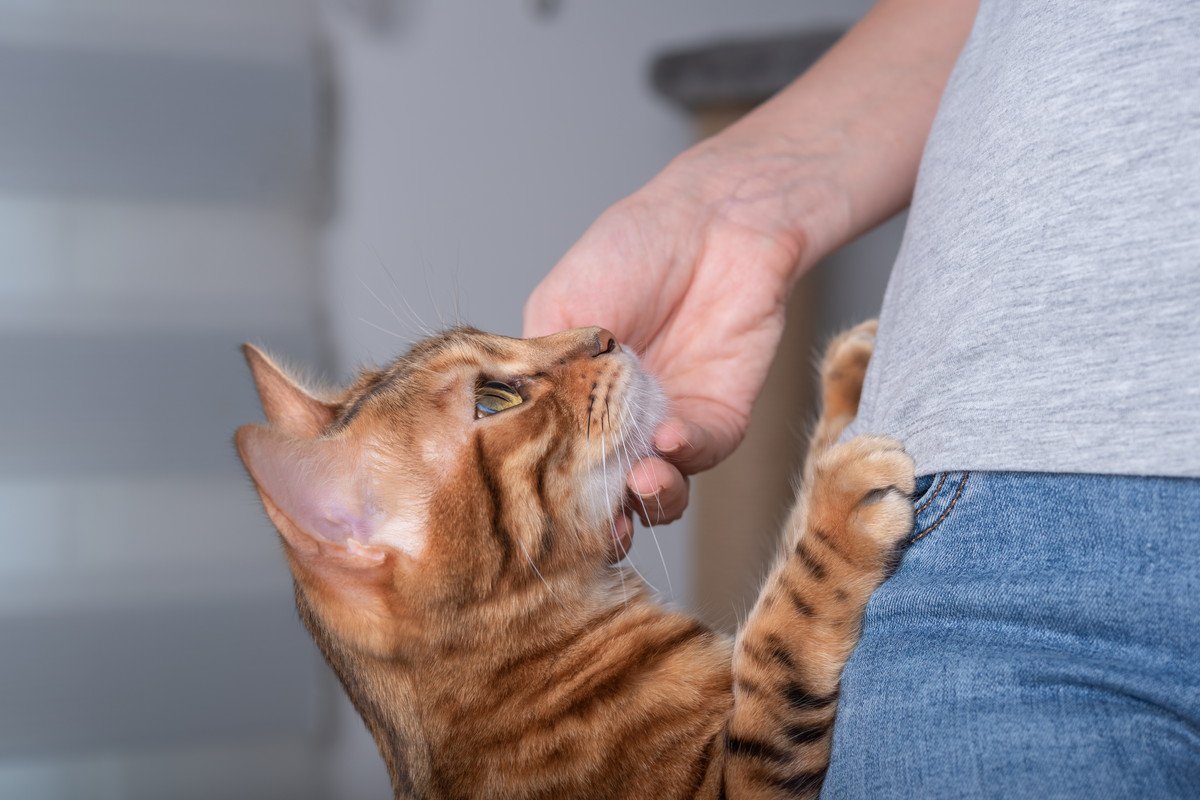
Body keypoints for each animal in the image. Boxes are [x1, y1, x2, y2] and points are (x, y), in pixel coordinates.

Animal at [231, 321, 907, 800]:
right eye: (493, 399)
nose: (603, 331)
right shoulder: (728, 785)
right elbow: (777, 638)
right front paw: (839, 506)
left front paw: (850, 385)